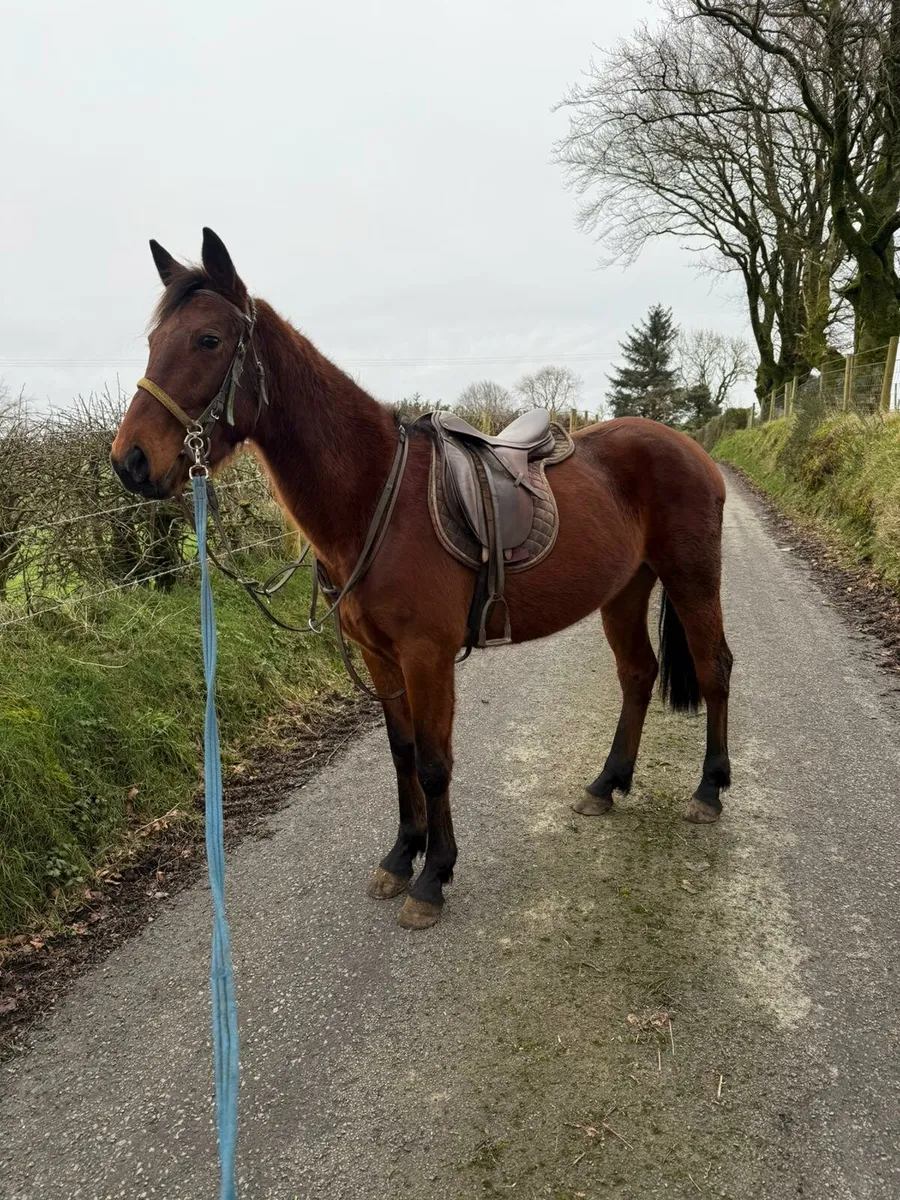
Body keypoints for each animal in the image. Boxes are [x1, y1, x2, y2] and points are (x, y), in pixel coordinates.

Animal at [111, 228, 733, 931]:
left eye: (209, 340)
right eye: (154, 341)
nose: (131, 461)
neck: (374, 495)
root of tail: (691, 448)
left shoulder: (427, 655)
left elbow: (435, 764)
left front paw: (433, 877)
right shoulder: (380, 656)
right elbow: (402, 752)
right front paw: (401, 855)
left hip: (692, 579)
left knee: (713, 668)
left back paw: (709, 790)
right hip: (624, 592)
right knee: (637, 674)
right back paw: (606, 784)